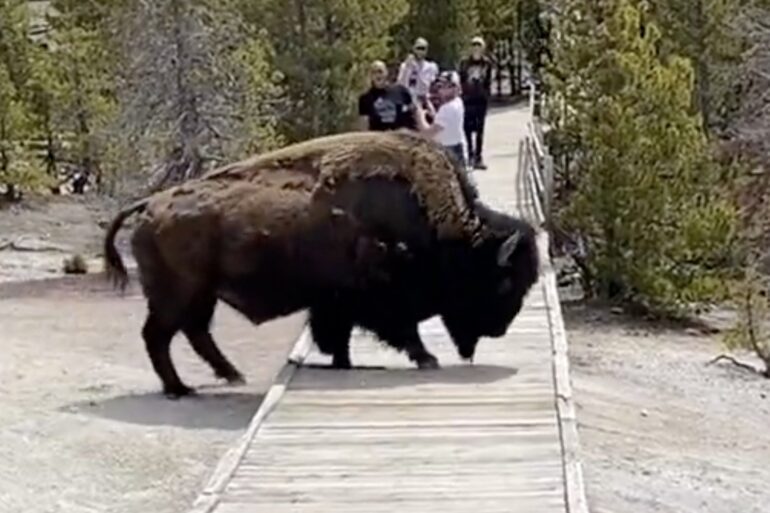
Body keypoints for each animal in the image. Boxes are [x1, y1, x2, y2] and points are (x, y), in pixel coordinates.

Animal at [103, 130, 540, 398]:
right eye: (504, 282)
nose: (499, 330)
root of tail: (150, 204)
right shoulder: (374, 300)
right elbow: (400, 331)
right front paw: (427, 360)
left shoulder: (336, 304)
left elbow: (339, 335)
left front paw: (343, 362)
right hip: (177, 295)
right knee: (159, 336)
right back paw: (180, 389)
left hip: (201, 295)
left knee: (194, 333)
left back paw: (231, 375)